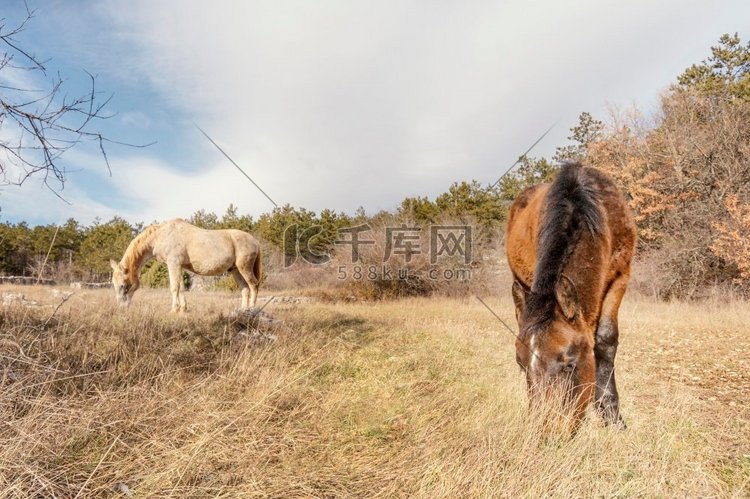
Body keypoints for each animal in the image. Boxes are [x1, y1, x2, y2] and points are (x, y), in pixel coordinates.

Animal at [110, 220, 262, 312]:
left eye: (123, 285)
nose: (121, 308)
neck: (161, 236)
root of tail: (255, 241)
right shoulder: (180, 266)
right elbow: (181, 288)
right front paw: (183, 309)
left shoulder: (173, 264)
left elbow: (174, 287)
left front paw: (173, 309)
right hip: (235, 270)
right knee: (245, 289)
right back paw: (243, 310)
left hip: (244, 267)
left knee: (253, 285)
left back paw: (252, 309)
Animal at [508, 162, 636, 428]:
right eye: (520, 365)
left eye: (570, 364)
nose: (544, 426)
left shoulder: (621, 276)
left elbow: (606, 339)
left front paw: (611, 414)